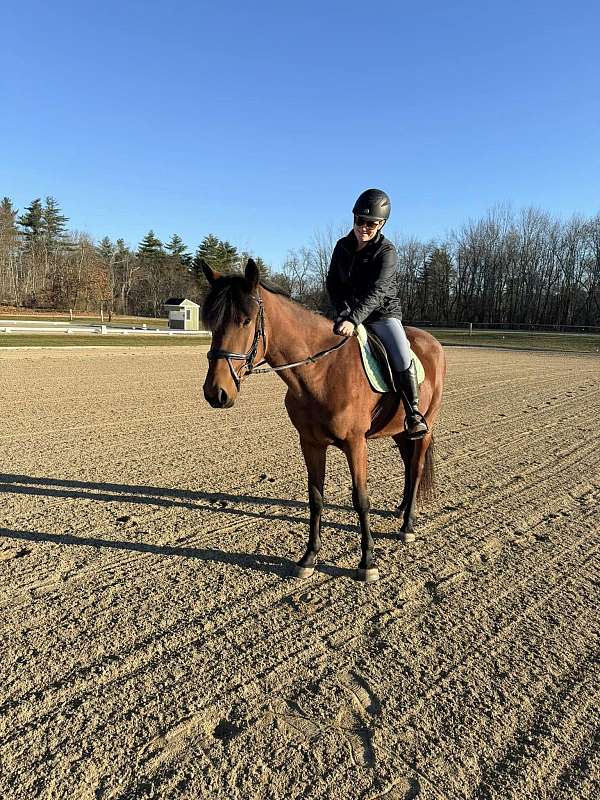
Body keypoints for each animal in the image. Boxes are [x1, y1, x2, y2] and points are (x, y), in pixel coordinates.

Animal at [202, 260, 446, 580]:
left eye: (245, 321)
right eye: (211, 323)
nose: (215, 393)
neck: (320, 372)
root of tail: (432, 342)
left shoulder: (356, 444)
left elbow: (360, 498)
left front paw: (367, 562)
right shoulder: (311, 443)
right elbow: (315, 498)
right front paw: (308, 557)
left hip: (425, 427)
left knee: (415, 469)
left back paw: (408, 525)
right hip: (398, 431)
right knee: (407, 464)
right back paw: (401, 509)